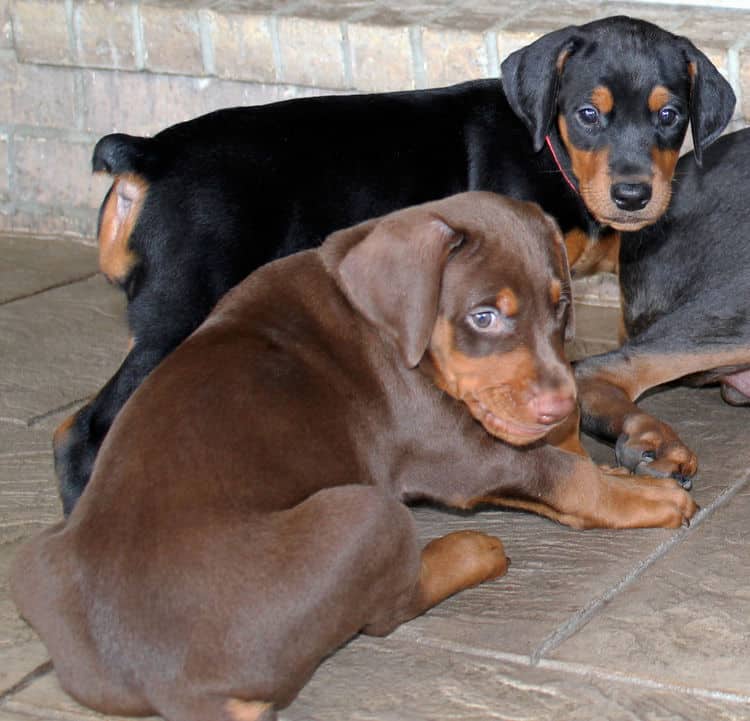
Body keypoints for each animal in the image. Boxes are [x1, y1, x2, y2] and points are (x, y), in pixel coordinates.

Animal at [10, 193, 700, 720]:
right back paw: (471, 550)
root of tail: (164, 686)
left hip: (35, 557)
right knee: (387, 611)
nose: (561, 405)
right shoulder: (453, 449)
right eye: (484, 316)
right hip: (366, 513)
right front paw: (644, 494)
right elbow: (556, 473)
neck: (386, 320)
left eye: (561, 305)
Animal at [55, 16, 736, 512]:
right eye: (588, 114)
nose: (633, 195)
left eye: (670, 115)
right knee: (83, 430)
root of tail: (150, 152)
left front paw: (649, 440)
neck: (551, 154)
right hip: (180, 308)